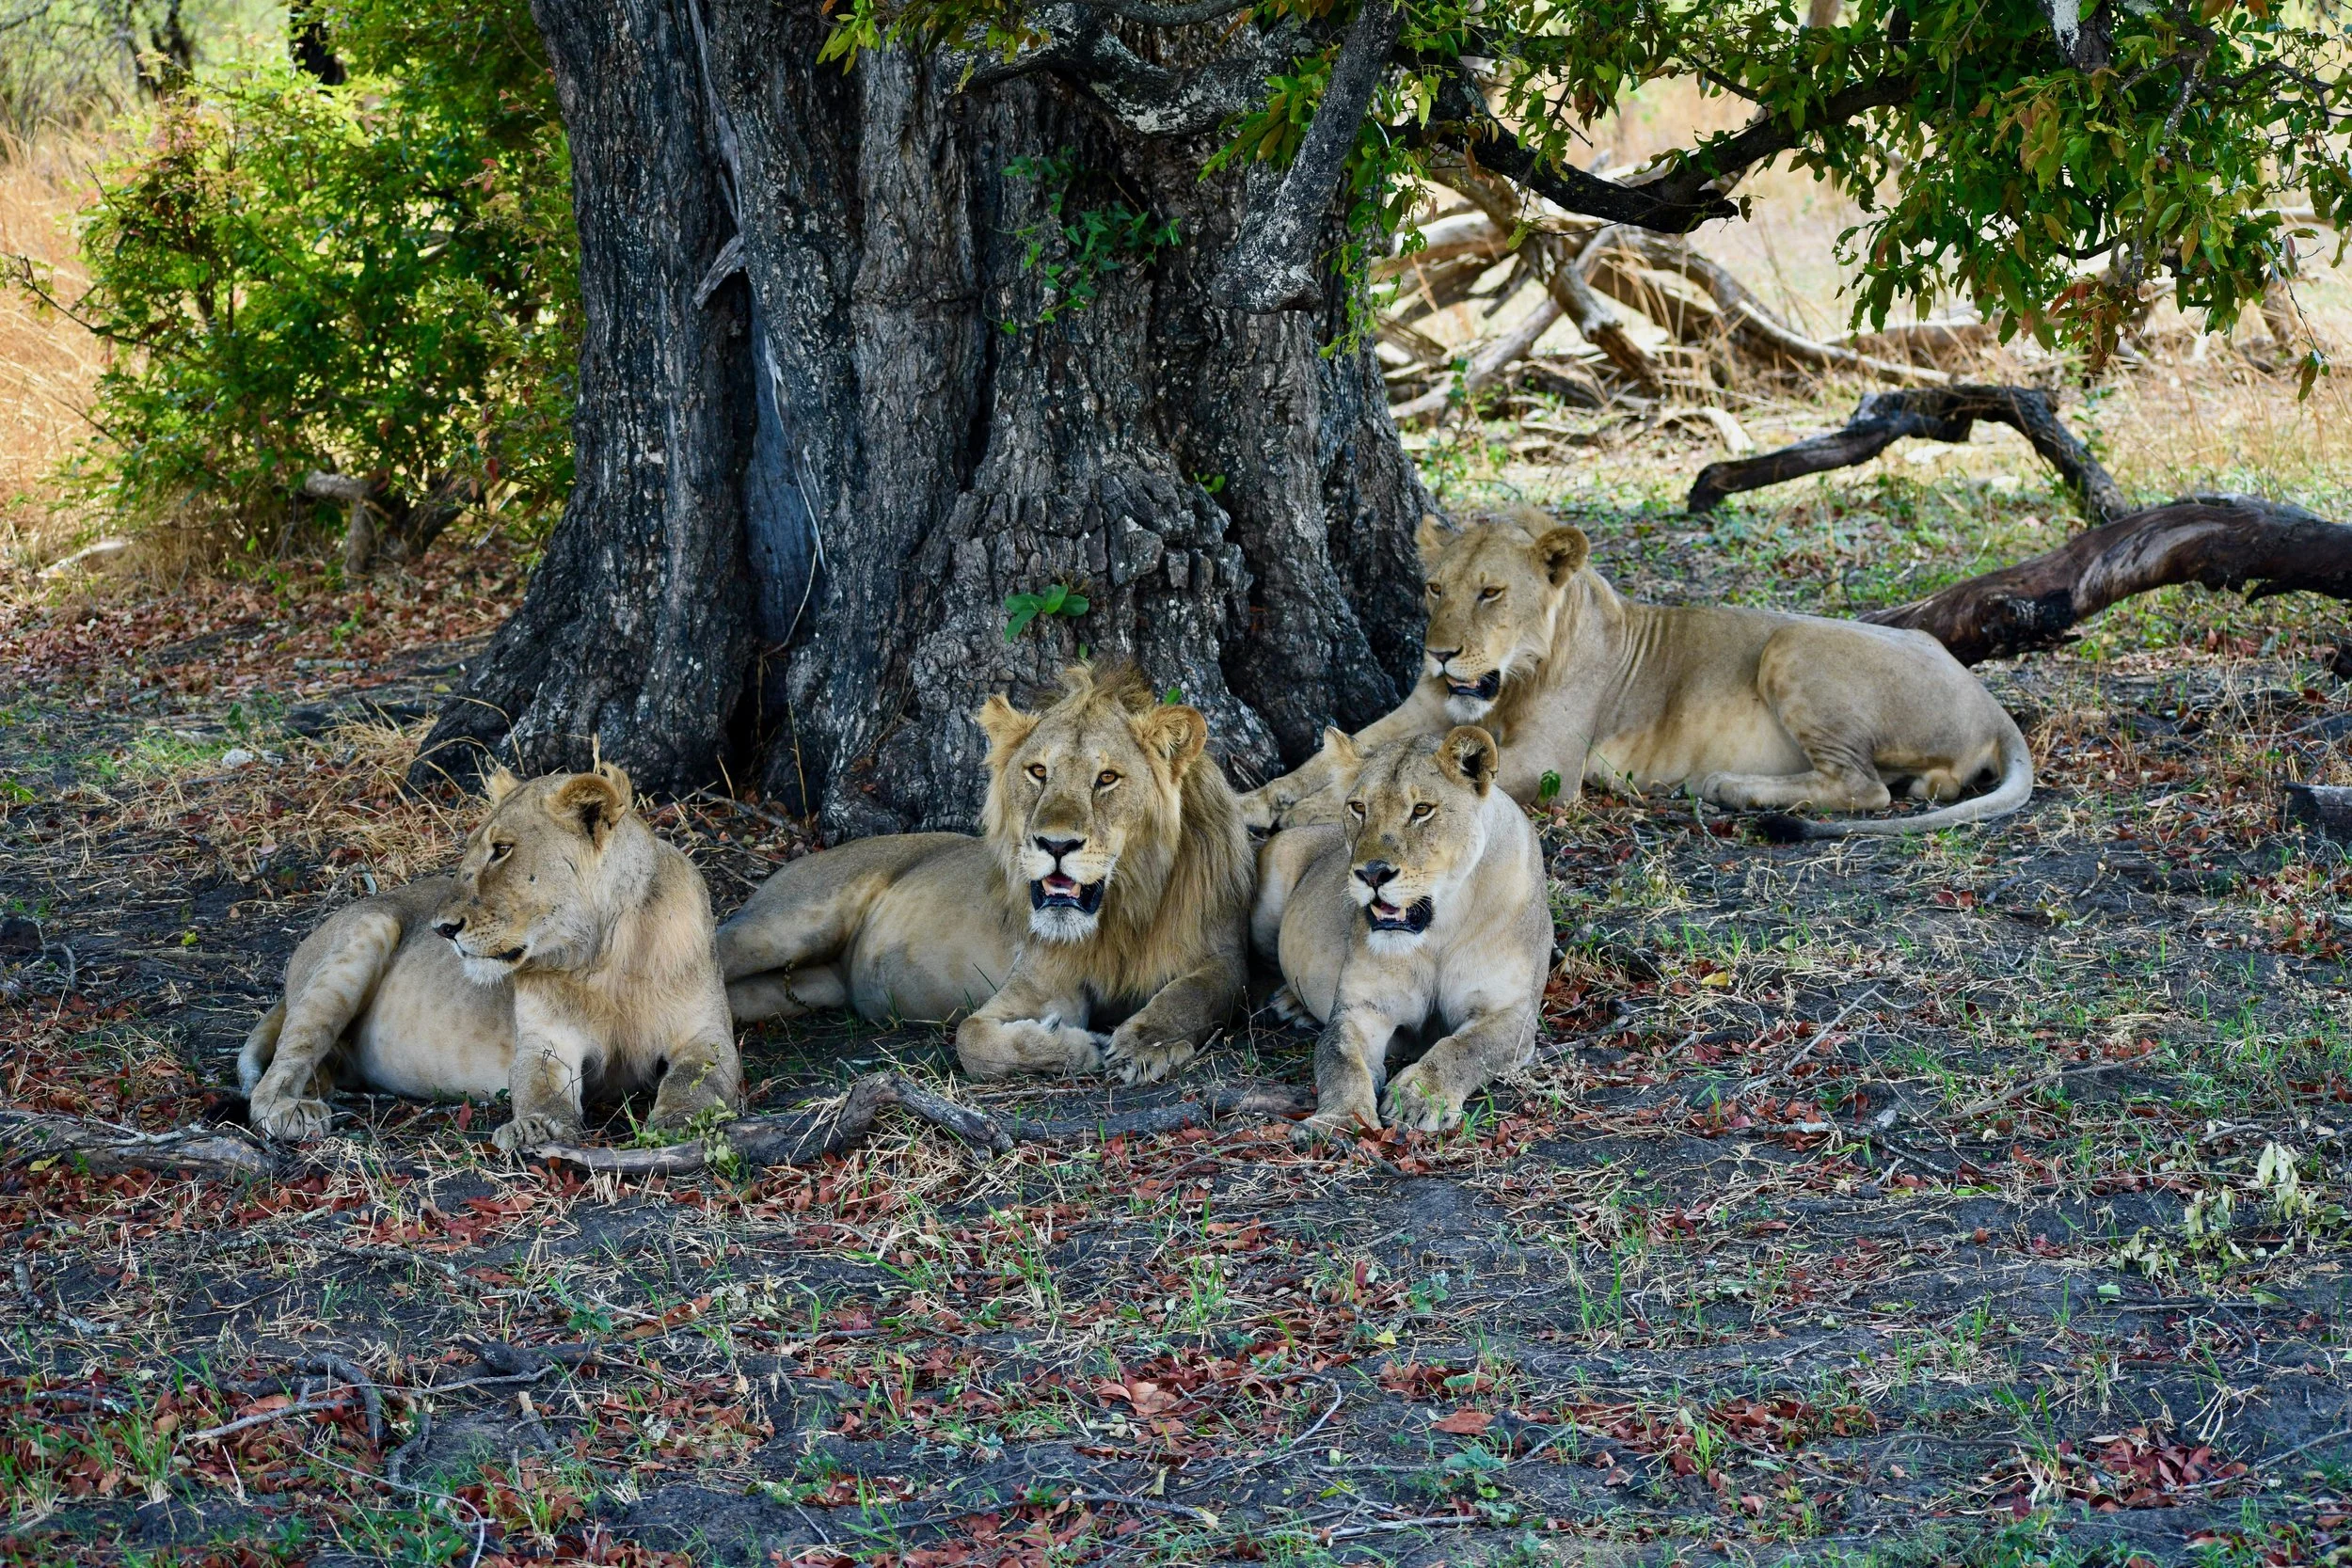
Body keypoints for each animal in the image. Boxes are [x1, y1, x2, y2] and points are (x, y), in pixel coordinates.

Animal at [239, 763, 741, 1150]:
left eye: (502, 850)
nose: (441, 929)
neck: (603, 962)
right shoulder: (545, 1041)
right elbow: (537, 1087)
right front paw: (536, 1128)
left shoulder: (708, 1035)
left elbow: (694, 1079)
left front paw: (679, 1121)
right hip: (366, 932)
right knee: (279, 1069)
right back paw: (292, 1111)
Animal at [719, 664, 1252, 1084]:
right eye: (1038, 772)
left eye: (1107, 778)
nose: (1055, 845)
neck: (1122, 914)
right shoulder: (1036, 984)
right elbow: (972, 1039)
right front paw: (1076, 1046)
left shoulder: (1226, 954)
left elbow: (1195, 993)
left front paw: (1147, 1044)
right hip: (781, 928)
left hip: (804, 987)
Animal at [1242, 509, 2033, 840]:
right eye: (1435, 588)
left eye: (1491, 592)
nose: (1439, 654)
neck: (1513, 675)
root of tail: (1991, 703)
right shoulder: (1426, 709)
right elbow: (1338, 753)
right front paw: (1257, 800)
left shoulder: (1550, 764)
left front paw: (1298, 818)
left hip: (1789, 646)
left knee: (1866, 788)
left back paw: (1729, 786)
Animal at [1253, 726, 1551, 1133]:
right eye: (1359, 807)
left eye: (1422, 810)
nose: (1372, 874)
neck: (1439, 931)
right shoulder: (1362, 1008)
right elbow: (1340, 1061)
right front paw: (1340, 1120)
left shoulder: (1512, 1013)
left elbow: (1463, 1050)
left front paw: (1417, 1098)